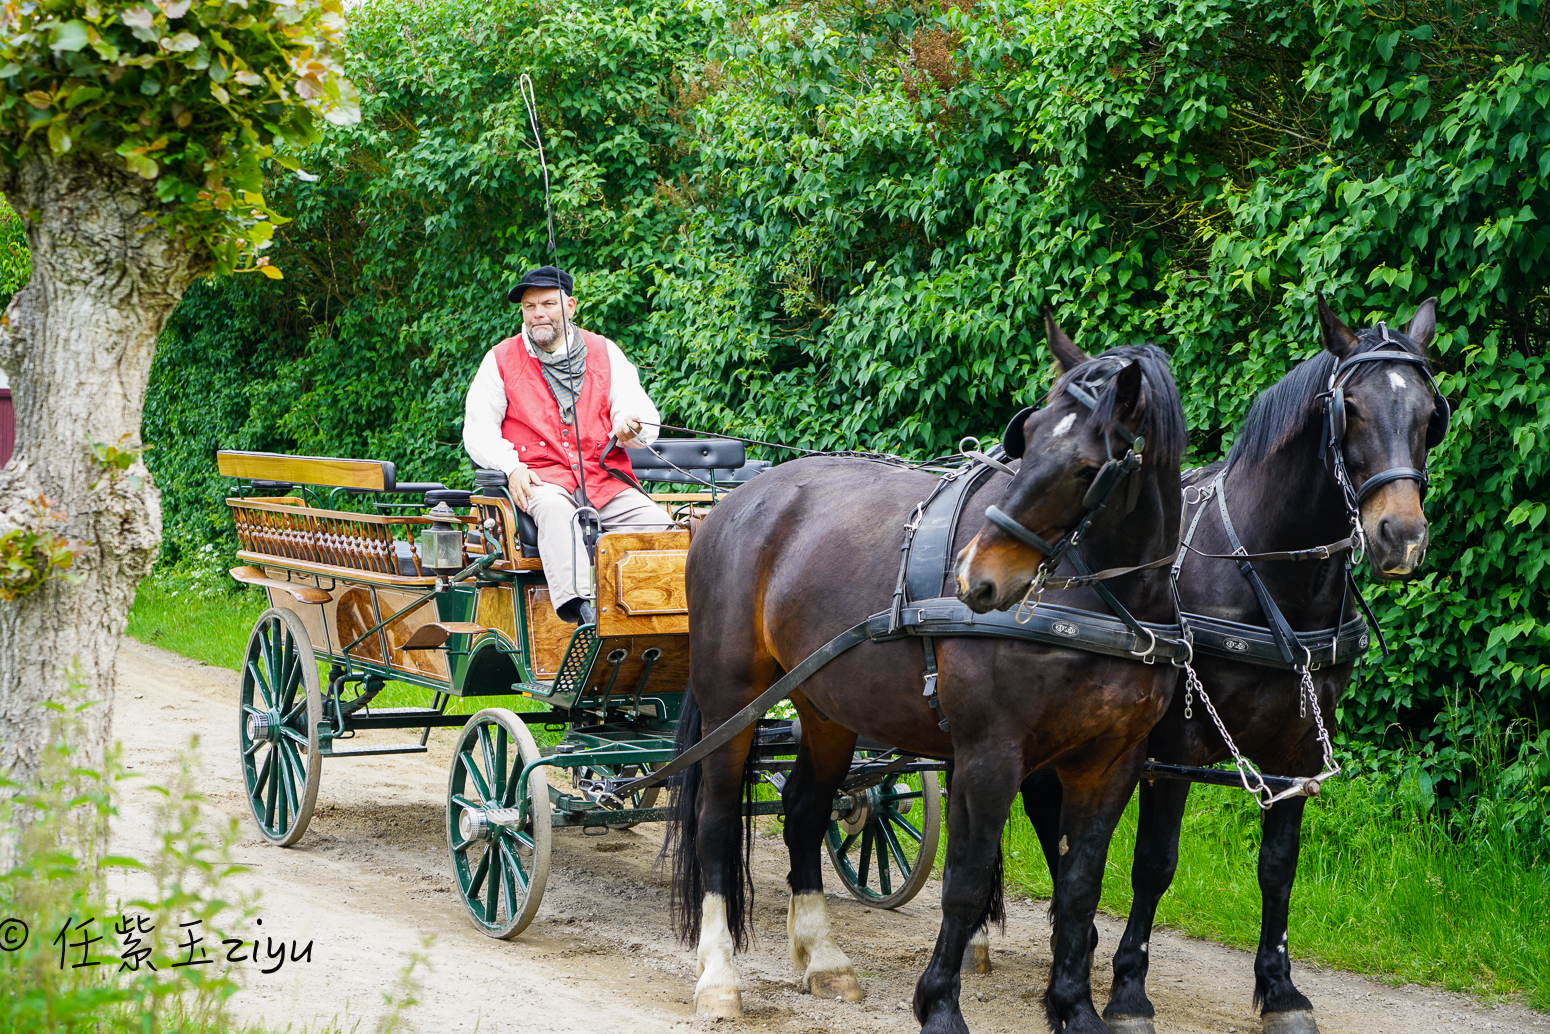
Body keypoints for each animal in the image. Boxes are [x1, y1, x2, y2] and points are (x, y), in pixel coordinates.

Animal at [666, 325, 1184, 1034]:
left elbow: (1080, 888)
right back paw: (718, 974)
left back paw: (823, 958)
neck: (1097, 607)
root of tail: (734, 503)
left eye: (1088, 468)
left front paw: (1076, 1009)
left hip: (826, 708)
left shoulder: (1112, 763)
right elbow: (965, 882)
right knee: (716, 820)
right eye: (1028, 438)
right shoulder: (991, 755)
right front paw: (938, 1005)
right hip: (731, 701)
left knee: (803, 811)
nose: (975, 577)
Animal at [1022, 294, 1444, 1029]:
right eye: (1351, 408)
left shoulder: (1301, 748)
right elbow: (1154, 862)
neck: (1270, 570)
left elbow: (1278, 865)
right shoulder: (1176, 740)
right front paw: (1128, 989)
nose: (1402, 537)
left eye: (1428, 413)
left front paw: (1280, 987)